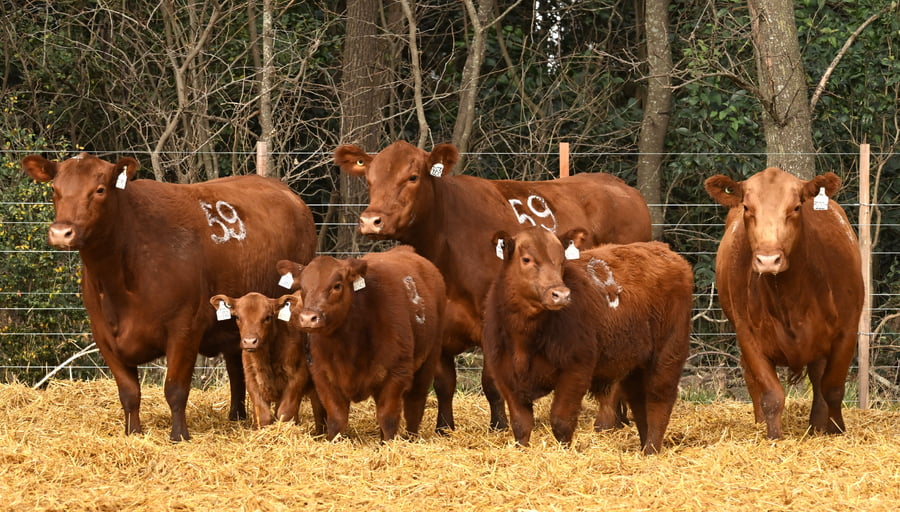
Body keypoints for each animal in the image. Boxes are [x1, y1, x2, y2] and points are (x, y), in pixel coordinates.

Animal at [208, 292, 325, 433]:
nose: (250, 341)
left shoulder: (297, 377)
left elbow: (285, 413)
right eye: (237, 317)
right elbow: (263, 416)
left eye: (268, 317)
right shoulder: (252, 379)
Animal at [283, 245, 445, 442]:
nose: (308, 318)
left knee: (415, 404)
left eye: (337, 285)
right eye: (302, 287)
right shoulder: (322, 376)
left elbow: (388, 418)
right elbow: (337, 419)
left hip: (429, 360)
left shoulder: (397, 374)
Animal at [335, 140, 652, 432]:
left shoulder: (492, 321)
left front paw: (499, 424)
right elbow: (444, 382)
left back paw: (607, 421)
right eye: (369, 179)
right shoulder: (441, 326)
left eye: (412, 177)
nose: (371, 221)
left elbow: (491, 381)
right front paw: (444, 426)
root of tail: (621, 187)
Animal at [482, 227, 692, 453]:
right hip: (635, 364)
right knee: (639, 403)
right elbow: (521, 425)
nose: (561, 294)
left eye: (562, 261)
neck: (524, 340)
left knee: (659, 401)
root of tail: (662, 249)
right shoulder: (505, 376)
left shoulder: (576, 369)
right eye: (526, 259)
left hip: (668, 353)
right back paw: (644, 450)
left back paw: (652, 450)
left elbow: (561, 421)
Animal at [705, 167, 864, 439]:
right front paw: (774, 437)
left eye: (797, 207)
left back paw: (817, 425)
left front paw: (835, 430)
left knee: (819, 379)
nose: (768, 260)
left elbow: (833, 388)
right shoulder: (748, 335)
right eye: (747, 207)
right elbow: (771, 395)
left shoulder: (847, 330)